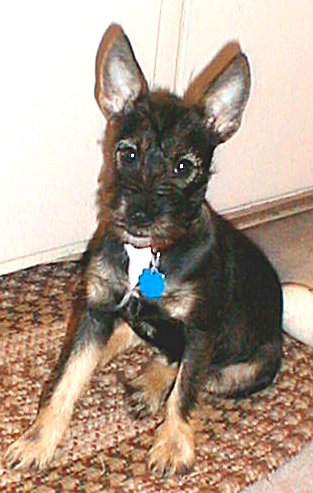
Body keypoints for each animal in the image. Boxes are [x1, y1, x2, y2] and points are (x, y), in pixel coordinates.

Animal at [4, 25, 282, 474]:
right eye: (128, 153)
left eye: (184, 167)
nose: (139, 214)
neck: (148, 255)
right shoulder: (96, 308)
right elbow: (65, 381)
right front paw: (37, 441)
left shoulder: (201, 329)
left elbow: (186, 390)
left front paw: (171, 446)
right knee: (143, 342)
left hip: (245, 370)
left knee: (190, 369)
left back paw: (151, 386)